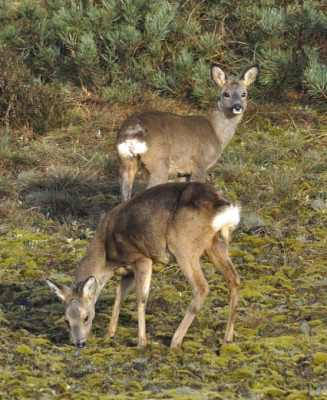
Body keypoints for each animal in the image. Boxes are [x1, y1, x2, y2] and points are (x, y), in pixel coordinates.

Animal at [45, 183, 241, 348]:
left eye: (86, 317)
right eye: (66, 320)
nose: (79, 343)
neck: (107, 257)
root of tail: (224, 207)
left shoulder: (142, 258)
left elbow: (141, 297)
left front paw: (141, 342)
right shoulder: (127, 271)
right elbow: (119, 295)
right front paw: (109, 335)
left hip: (184, 246)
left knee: (201, 288)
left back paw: (175, 340)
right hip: (216, 244)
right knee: (234, 279)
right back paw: (227, 338)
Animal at [116, 64, 260, 202]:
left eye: (244, 94)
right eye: (226, 94)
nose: (237, 107)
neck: (216, 132)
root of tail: (131, 135)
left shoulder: (183, 170)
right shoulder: (200, 161)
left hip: (125, 161)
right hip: (159, 162)